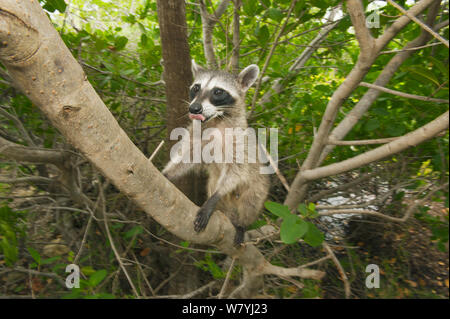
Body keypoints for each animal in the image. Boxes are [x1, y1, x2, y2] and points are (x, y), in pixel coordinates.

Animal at [162, 60, 268, 245]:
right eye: (196, 88)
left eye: (218, 92)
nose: (194, 108)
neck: (217, 120)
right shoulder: (197, 135)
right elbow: (187, 157)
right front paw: (169, 172)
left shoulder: (239, 142)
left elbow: (237, 170)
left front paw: (214, 198)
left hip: (258, 187)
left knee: (251, 202)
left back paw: (241, 224)